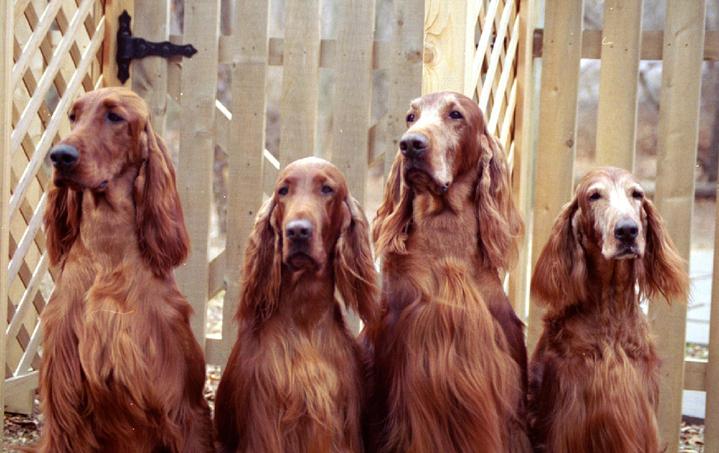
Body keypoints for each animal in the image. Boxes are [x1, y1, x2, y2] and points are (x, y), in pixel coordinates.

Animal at [39, 86, 214, 450]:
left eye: (114, 116)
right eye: (74, 115)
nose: (60, 156)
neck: (107, 255)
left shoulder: (181, 408)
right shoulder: (62, 406)